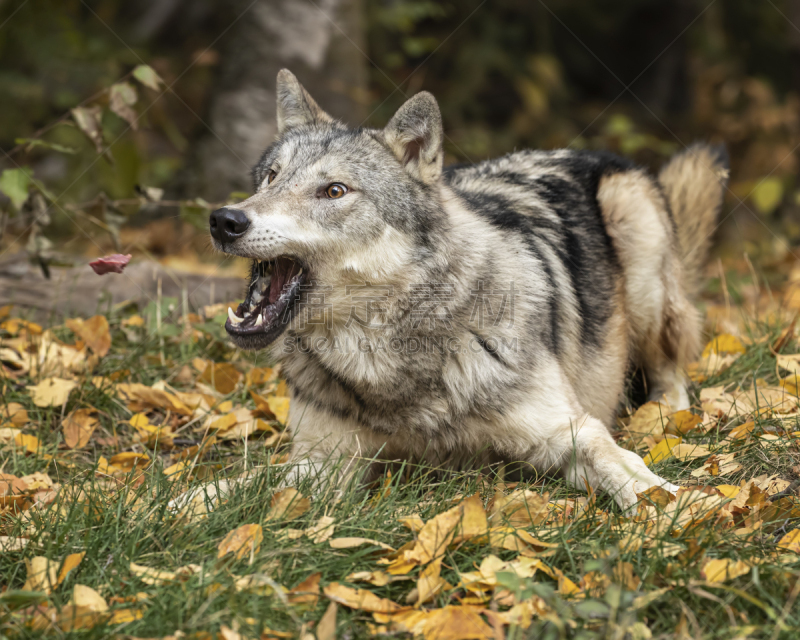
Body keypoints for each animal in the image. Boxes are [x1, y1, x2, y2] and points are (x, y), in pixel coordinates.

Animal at [198, 69, 724, 510]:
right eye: (271, 177)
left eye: (334, 191)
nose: (225, 220)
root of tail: (586, 150)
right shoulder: (322, 462)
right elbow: (226, 488)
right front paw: (179, 511)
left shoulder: (570, 431)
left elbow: (630, 473)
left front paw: (675, 511)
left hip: (640, 253)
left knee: (672, 369)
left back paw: (665, 417)